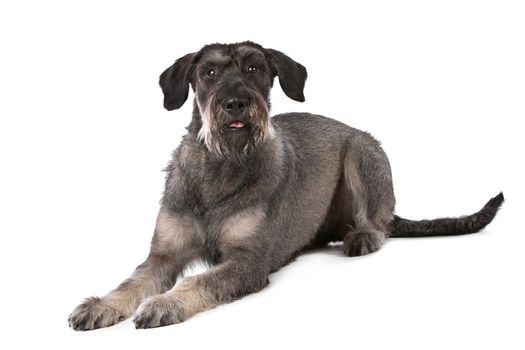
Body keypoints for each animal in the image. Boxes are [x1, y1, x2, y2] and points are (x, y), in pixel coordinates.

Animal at [67, 41, 502, 330]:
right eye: (209, 73)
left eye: (255, 69)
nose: (236, 103)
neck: (221, 166)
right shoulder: (164, 255)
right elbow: (133, 282)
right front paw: (100, 304)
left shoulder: (247, 262)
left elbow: (199, 279)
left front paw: (165, 304)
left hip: (362, 152)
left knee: (380, 223)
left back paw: (362, 236)